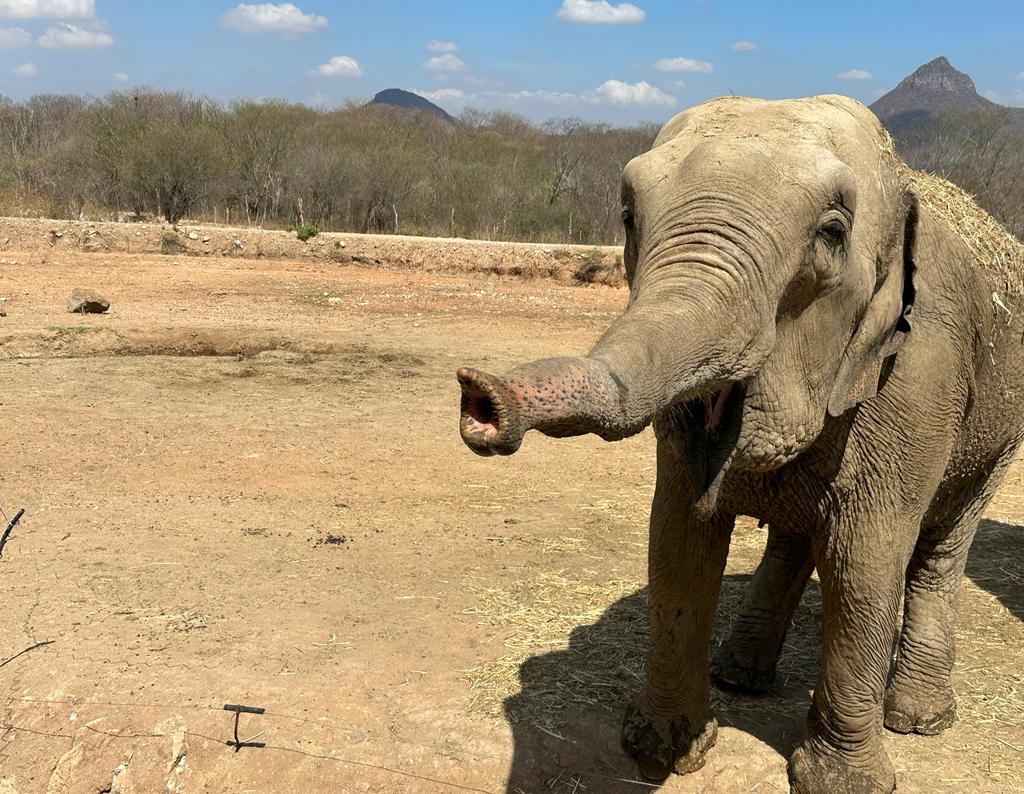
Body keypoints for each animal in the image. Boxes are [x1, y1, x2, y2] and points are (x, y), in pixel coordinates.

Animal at [455, 93, 1024, 793]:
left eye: (831, 232)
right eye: (628, 216)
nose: (479, 396)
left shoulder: (917, 376)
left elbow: (863, 561)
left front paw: (842, 784)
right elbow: (679, 540)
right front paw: (664, 751)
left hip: (999, 433)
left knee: (942, 546)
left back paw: (917, 719)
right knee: (793, 539)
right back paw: (740, 675)